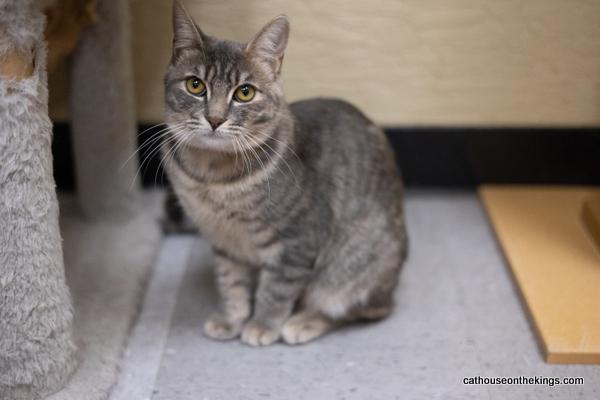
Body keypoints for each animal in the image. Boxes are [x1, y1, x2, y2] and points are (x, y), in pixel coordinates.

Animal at [162, 0, 408, 346]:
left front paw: (262, 325)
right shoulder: (224, 243)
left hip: (352, 270)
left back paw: (304, 322)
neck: (211, 177)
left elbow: (275, 290)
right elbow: (232, 284)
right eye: (195, 85)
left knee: (362, 308)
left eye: (245, 93)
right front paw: (233, 319)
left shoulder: (296, 241)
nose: (215, 119)